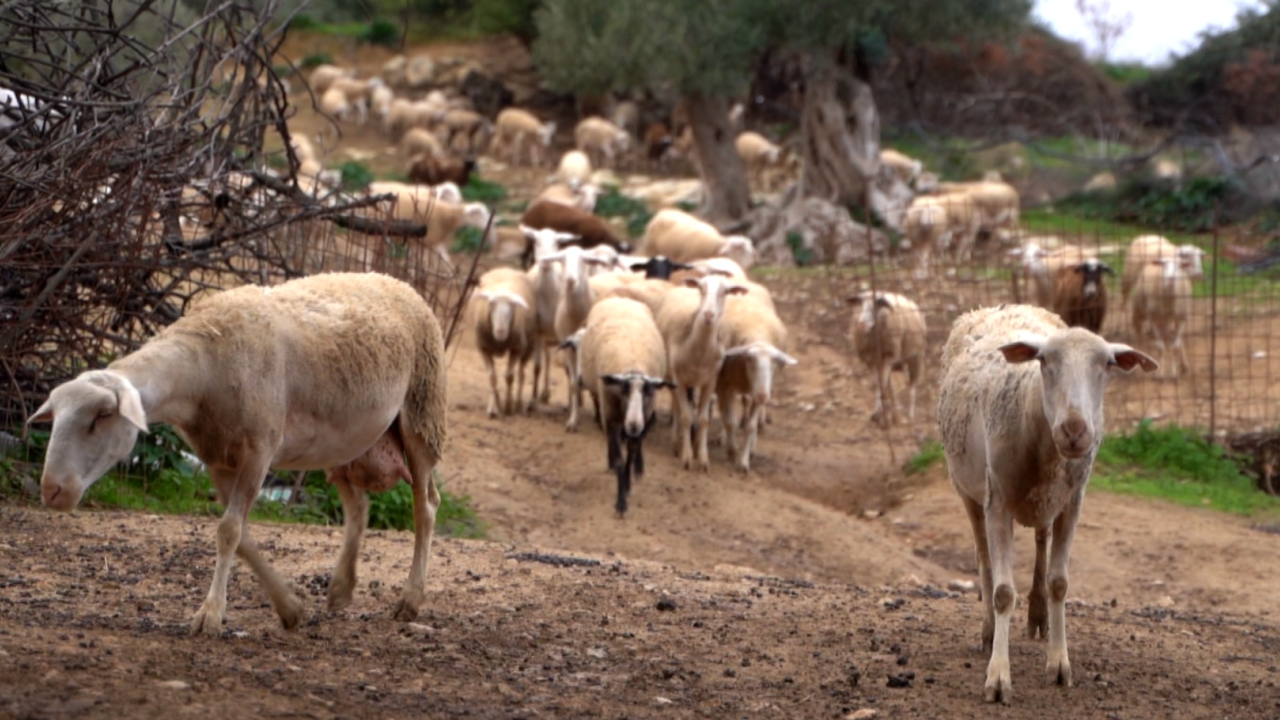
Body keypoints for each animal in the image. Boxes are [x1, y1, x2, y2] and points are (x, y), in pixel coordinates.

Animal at [24, 270, 450, 632]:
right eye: (56, 417)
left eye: (101, 416)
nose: (52, 490)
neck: (202, 367)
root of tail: (395, 280)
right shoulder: (217, 458)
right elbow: (241, 537)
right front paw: (289, 608)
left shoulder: (258, 449)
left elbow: (229, 531)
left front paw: (210, 615)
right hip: (346, 440)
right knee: (359, 506)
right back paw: (342, 589)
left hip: (422, 415)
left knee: (426, 506)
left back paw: (410, 600)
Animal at [476, 267, 540, 415]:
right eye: (491, 305)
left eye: (511, 308)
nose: (501, 332)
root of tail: (505, 268)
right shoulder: (483, 348)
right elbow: (492, 377)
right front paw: (494, 407)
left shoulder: (517, 347)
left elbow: (509, 376)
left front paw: (508, 406)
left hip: (529, 345)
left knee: (522, 373)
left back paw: (519, 404)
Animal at [576, 294, 675, 512]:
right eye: (623, 390)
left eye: (648, 391)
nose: (634, 425)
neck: (632, 364)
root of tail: (621, 298)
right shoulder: (611, 416)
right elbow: (620, 460)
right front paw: (620, 502)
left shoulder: (644, 415)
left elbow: (632, 452)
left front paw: (628, 484)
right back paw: (611, 462)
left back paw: (638, 466)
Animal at [655, 271, 747, 468]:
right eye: (701, 289)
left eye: (725, 292)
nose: (708, 315)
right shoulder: (679, 380)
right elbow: (685, 416)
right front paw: (687, 456)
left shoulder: (710, 381)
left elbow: (704, 419)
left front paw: (703, 458)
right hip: (671, 375)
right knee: (677, 408)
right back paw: (677, 443)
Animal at [849, 289, 921, 425]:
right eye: (861, 305)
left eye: (876, 305)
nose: (861, 325)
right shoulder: (869, 359)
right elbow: (876, 384)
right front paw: (877, 412)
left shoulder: (889, 355)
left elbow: (882, 384)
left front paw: (883, 413)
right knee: (890, 385)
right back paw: (894, 413)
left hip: (915, 357)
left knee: (912, 385)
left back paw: (910, 416)